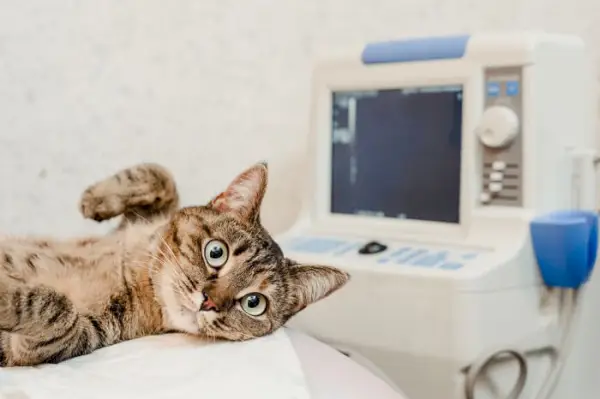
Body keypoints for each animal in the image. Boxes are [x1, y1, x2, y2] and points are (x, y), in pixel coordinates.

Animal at [0, 161, 350, 368]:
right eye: (216, 252)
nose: (209, 302)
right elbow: (163, 177)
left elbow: (57, 310)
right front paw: (96, 199)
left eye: (254, 303)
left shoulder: (72, 339)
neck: (136, 272)